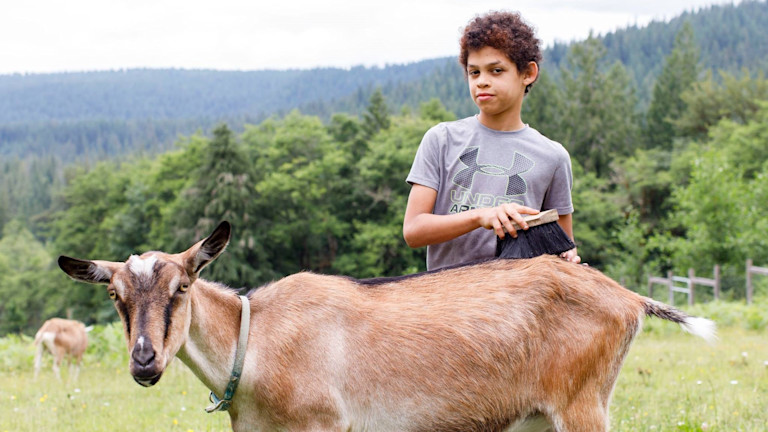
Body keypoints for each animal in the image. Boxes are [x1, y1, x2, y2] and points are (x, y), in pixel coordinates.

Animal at [58, 221, 712, 430]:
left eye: (182, 287)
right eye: (115, 296)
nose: (145, 361)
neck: (257, 339)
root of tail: (626, 296)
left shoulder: (325, 425)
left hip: (583, 403)